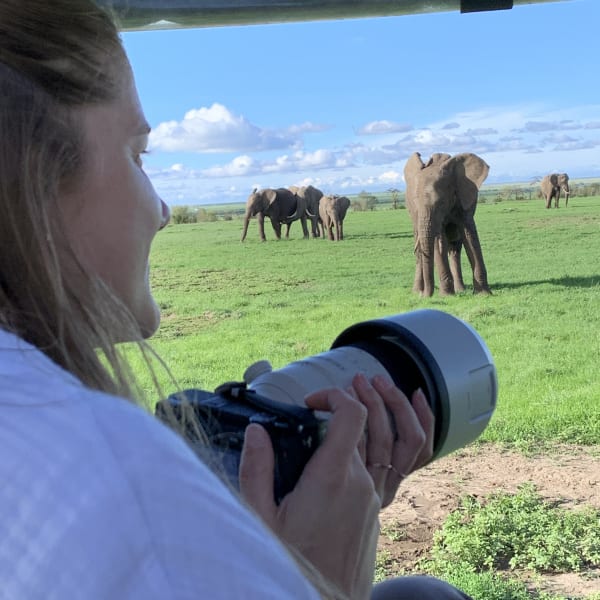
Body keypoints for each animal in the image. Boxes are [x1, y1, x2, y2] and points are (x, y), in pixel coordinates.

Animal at [404, 152, 492, 298]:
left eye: (441, 202)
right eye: (415, 202)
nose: (424, 296)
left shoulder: (464, 199)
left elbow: (470, 237)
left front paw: (484, 294)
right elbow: (439, 242)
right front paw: (446, 296)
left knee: (455, 248)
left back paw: (460, 290)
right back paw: (417, 291)